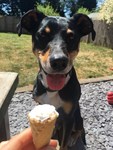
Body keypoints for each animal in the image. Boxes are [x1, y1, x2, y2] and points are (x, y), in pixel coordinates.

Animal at [17, 9, 95, 150]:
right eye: (43, 34)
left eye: (71, 36)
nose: (59, 61)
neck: (52, 90)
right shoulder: (41, 103)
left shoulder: (69, 118)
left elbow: (63, 143)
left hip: (78, 118)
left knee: (80, 129)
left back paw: (73, 139)